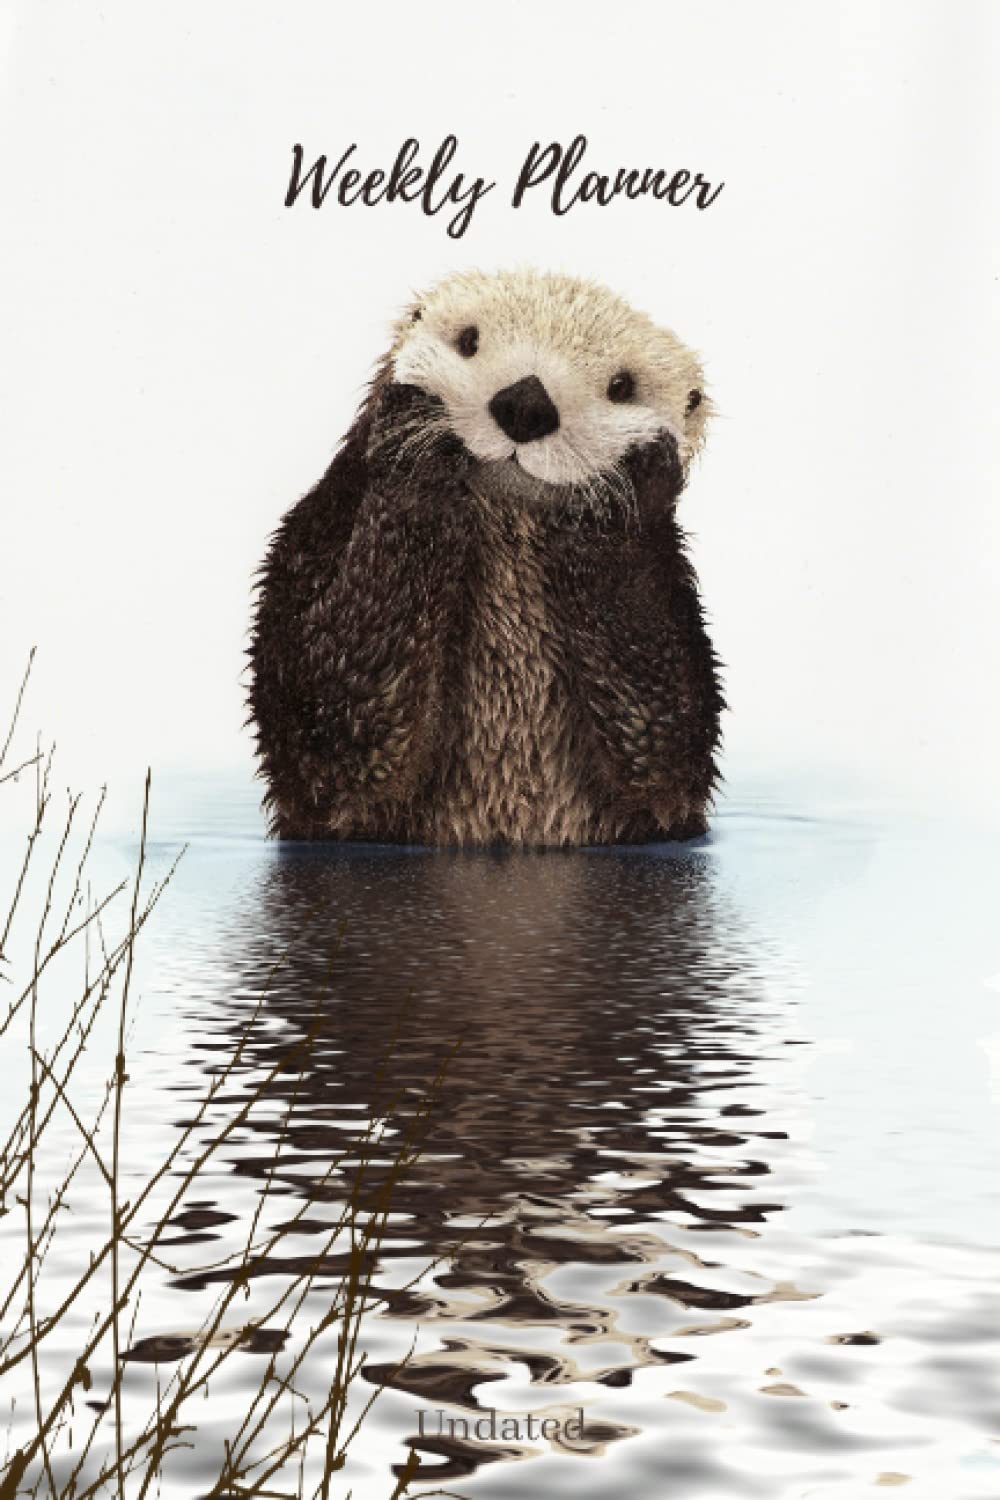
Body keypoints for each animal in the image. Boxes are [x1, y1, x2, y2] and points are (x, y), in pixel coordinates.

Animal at [248, 267, 724, 847]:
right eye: (468, 341)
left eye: (622, 387)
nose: (526, 404)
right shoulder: (316, 536)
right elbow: (330, 719)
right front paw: (415, 436)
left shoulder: (673, 604)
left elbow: (664, 741)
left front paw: (626, 482)